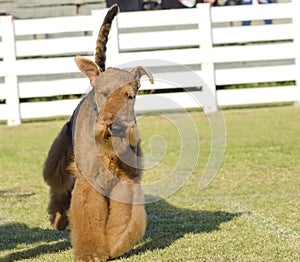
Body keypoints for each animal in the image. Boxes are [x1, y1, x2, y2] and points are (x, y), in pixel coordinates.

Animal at [42, 5, 152, 260]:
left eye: (130, 95)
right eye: (104, 94)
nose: (116, 127)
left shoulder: (126, 180)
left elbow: (126, 221)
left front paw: (114, 246)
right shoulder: (88, 182)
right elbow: (88, 217)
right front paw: (91, 253)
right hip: (60, 157)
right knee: (58, 186)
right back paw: (58, 219)